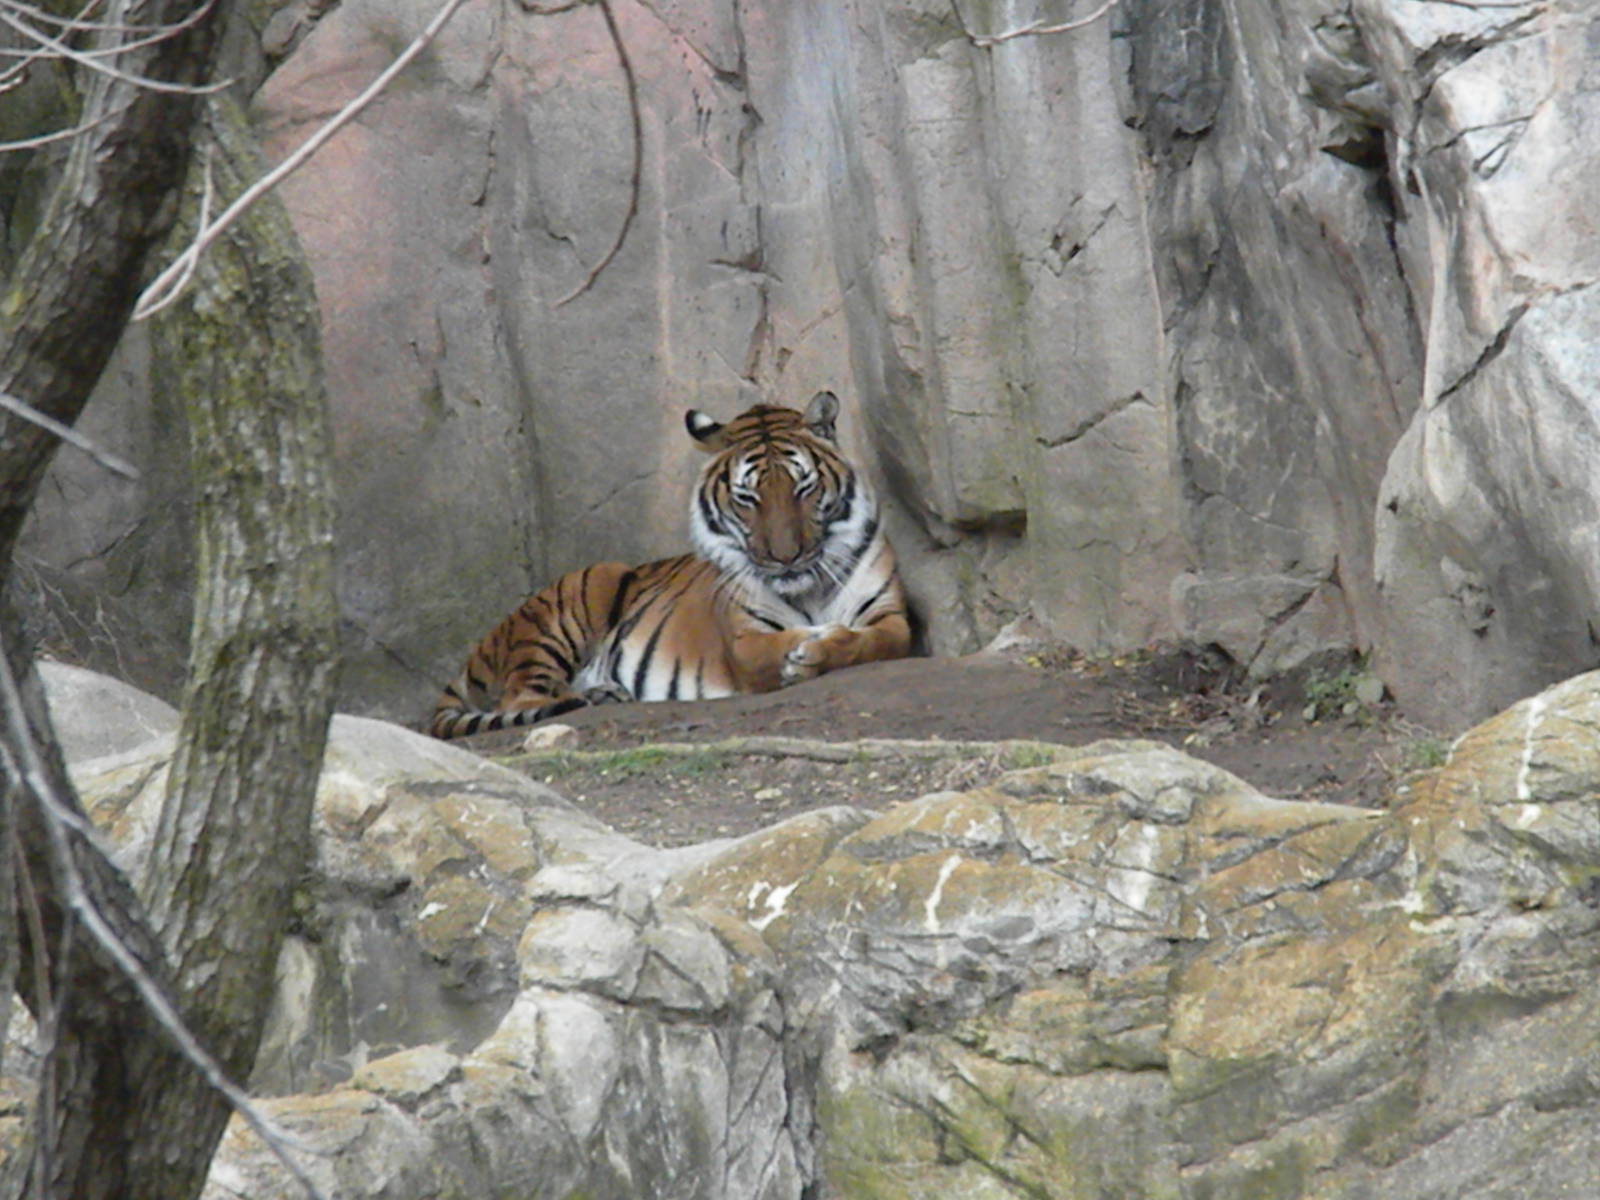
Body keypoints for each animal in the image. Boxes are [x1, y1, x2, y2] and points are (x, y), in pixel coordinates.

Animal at [427, 390, 911, 739]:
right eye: (748, 498)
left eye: (803, 488)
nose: (785, 556)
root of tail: (478, 652)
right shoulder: (742, 640)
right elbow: (777, 647)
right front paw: (805, 650)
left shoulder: (890, 617)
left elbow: (876, 643)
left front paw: (820, 648)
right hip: (578, 599)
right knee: (520, 698)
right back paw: (596, 695)